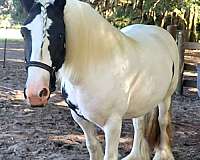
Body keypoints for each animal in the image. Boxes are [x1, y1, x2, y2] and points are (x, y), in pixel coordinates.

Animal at [20, 0, 179, 159]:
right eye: (23, 33)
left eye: (59, 35)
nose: (35, 93)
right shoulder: (80, 118)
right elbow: (93, 146)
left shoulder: (113, 124)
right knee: (139, 124)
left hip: (166, 97)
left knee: (162, 122)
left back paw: (163, 153)